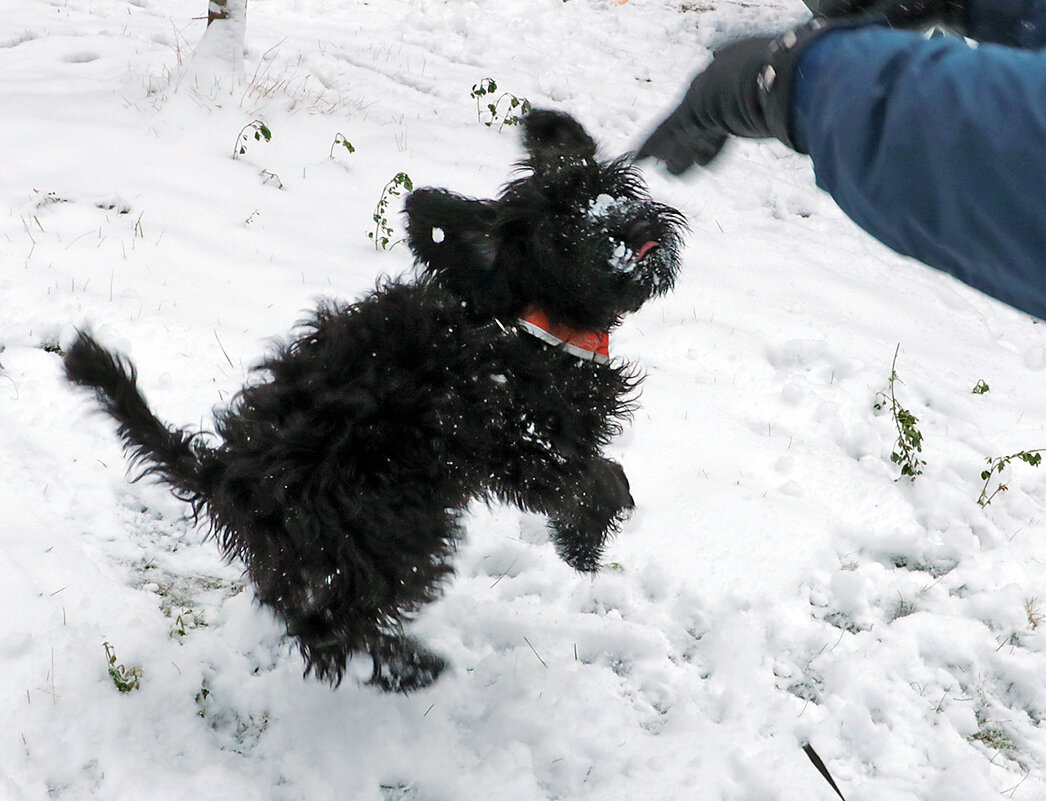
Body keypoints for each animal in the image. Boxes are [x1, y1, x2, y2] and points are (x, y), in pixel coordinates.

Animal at [63, 109, 686, 694]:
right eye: (561, 230)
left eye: (609, 187)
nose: (630, 225)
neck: (532, 320)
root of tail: (223, 472)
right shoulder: (524, 441)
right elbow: (592, 479)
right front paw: (586, 543)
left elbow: (601, 473)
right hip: (386, 534)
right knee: (325, 626)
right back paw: (407, 667)